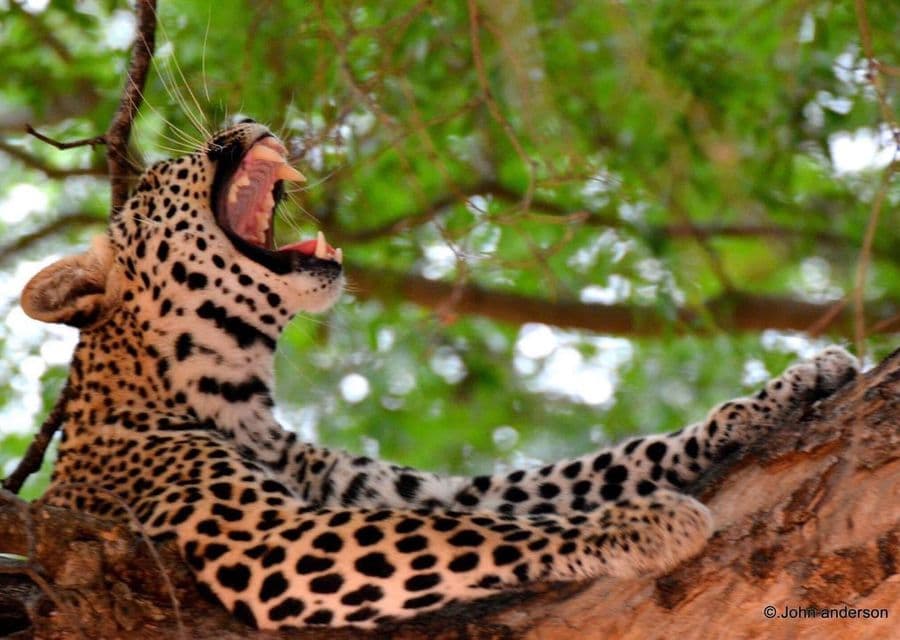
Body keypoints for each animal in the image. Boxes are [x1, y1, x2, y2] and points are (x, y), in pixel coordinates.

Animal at [18, 120, 860, 630]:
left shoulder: (380, 487)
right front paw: (640, 524)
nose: (242, 121)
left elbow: (571, 475)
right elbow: (476, 530)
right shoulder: (269, 540)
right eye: (158, 177)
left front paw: (789, 387)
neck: (236, 390)